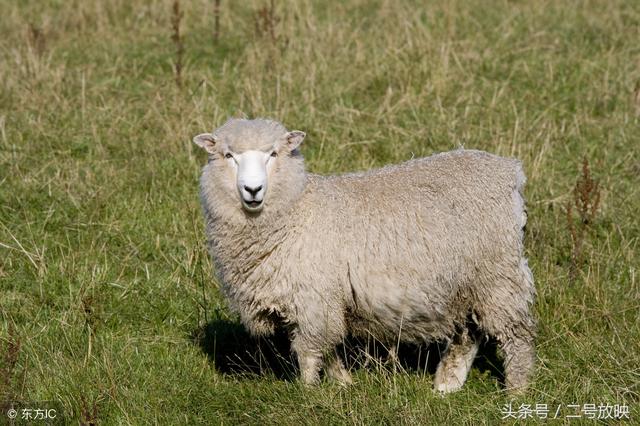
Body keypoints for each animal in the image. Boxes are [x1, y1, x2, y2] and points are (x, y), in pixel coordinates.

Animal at [192, 117, 536, 392]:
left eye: (273, 154)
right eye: (228, 156)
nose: (252, 190)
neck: (297, 209)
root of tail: (510, 171)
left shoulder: (313, 298)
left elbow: (308, 351)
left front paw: (307, 393)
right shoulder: (318, 300)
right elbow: (328, 347)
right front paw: (343, 382)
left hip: (497, 273)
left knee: (516, 336)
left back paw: (516, 391)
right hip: (466, 282)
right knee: (468, 334)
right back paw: (446, 385)